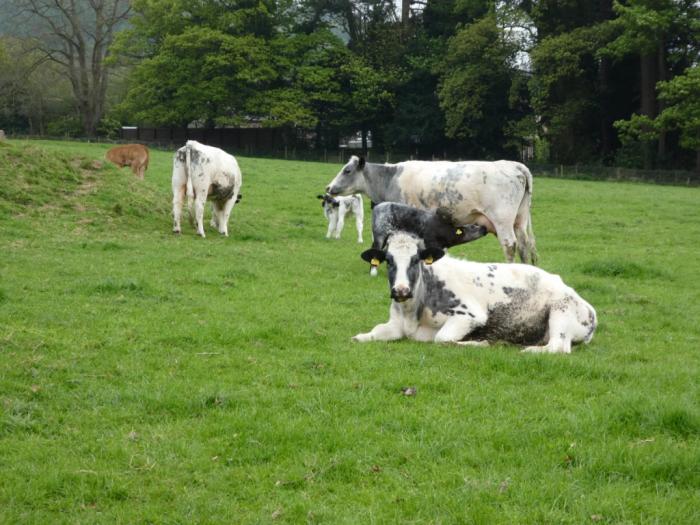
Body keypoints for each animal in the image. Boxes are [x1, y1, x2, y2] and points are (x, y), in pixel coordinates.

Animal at [326, 155, 540, 262]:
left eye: (347, 170)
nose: (328, 187)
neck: (390, 178)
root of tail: (515, 165)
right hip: (519, 220)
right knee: (525, 245)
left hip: (503, 221)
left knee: (510, 245)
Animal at [356, 229, 596, 352]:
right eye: (389, 261)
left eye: (416, 260)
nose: (401, 291)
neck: (411, 312)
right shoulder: (396, 324)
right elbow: (370, 333)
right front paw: (362, 336)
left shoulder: (470, 315)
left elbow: (442, 338)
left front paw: (479, 342)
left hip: (560, 310)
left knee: (558, 346)